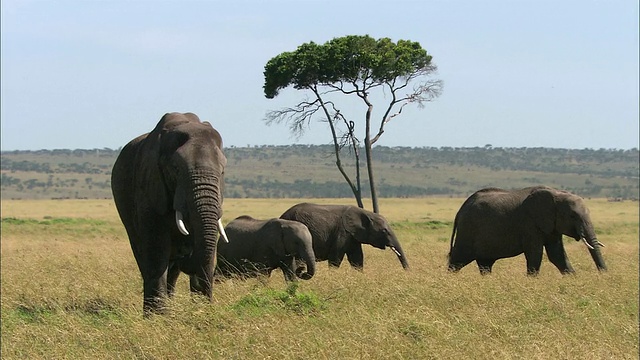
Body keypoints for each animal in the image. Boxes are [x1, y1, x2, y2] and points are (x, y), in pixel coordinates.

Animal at [111, 112, 226, 316]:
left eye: (222, 172)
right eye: (176, 169)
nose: (187, 256)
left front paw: (200, 311)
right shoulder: (149, 187)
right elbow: (157, 249)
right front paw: (157, 317)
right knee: (145, 257)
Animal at [280, 204, 410, 268]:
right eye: (384, 231)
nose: (407, 271)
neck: (366, 213)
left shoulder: (352, 236)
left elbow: (357, 258)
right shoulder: (342, 232)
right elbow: (335, 258)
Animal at [448, 186, 608, 276]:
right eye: (573, 216)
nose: (604, 276)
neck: (556, 194)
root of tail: (460, 210)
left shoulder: (552, 227)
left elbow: (557, 255)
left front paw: (573, 278)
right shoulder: (530, 224)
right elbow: (535, 254)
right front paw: (532, 280)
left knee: (485, 264)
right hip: (468, 230)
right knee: (457, 260)